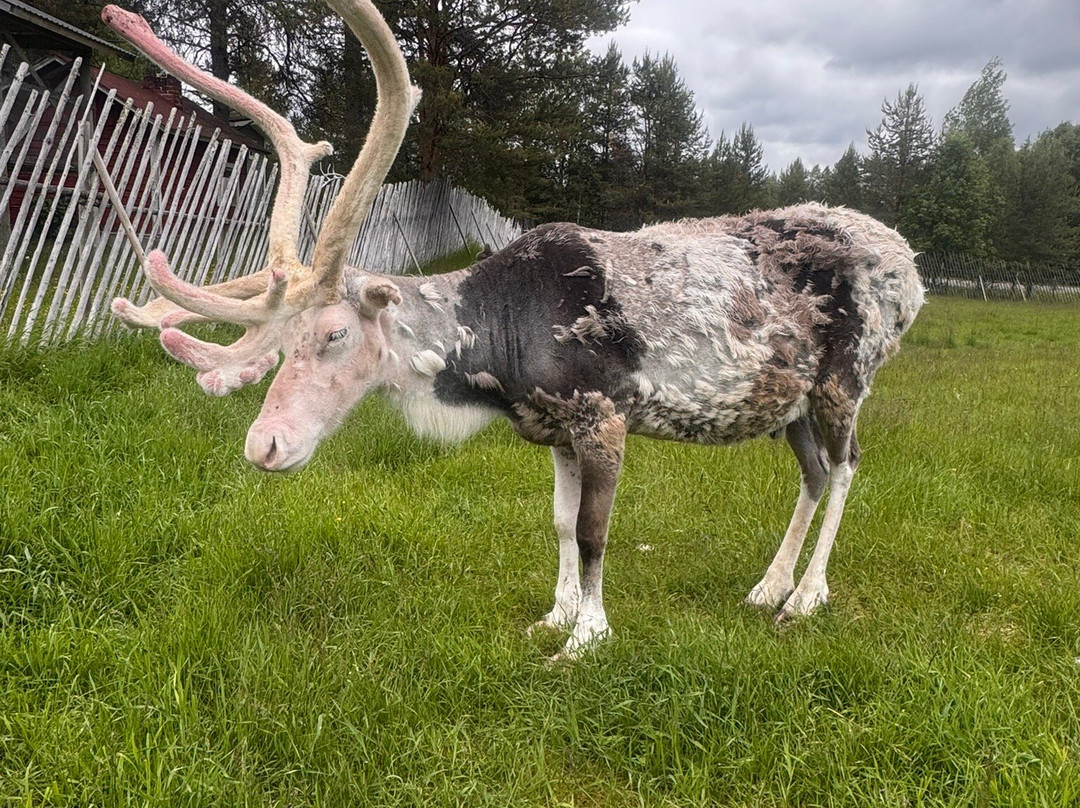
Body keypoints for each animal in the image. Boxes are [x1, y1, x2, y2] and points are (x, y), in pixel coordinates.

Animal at [104, 0, 925, 659]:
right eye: (275, 345)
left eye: (334, 335)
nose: (263, 446)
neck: (494, 360)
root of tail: (909, 269)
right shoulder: (551, 425)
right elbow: (559, 526)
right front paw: (554, 616)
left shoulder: (602, 413)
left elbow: (593, 531)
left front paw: (587, 637)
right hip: (789, 400)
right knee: (812, 472)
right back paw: (767, 587)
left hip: (848, 379)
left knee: (847, 466)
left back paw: (807, 597)